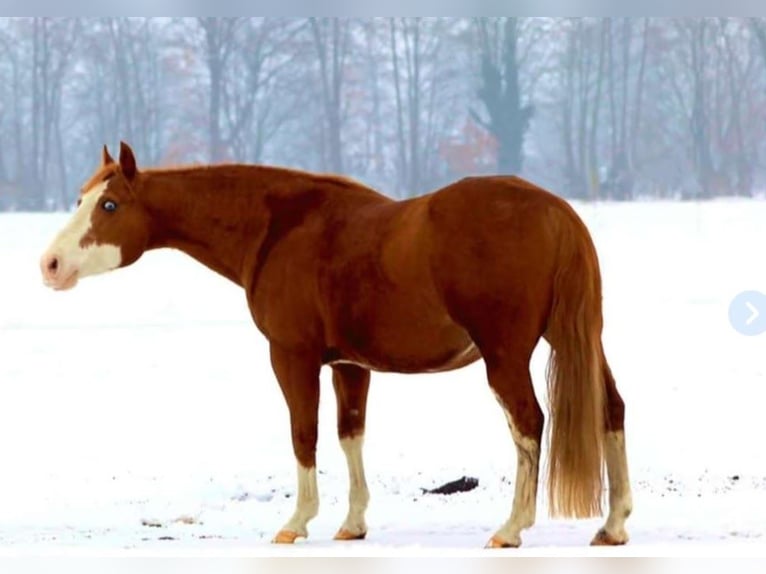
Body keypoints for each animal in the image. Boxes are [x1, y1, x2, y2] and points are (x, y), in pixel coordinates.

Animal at [39, 143, 632, 548]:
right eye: (81, 198)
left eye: (110, 206)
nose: (50, 265)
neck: (278, 229)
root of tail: (555, 211)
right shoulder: (350, 365)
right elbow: (351, 436)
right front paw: (352, 523)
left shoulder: (292, 356)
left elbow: (305, 434)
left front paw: (296, 522)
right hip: (580, 341)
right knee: (610, 411)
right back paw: (613, 524)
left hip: (505, 356)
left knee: (529, 423)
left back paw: (511, 528)